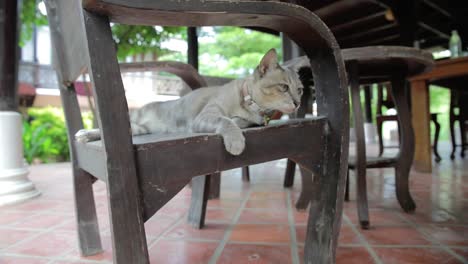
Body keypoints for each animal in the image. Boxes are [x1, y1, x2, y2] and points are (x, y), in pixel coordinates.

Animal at [74, 48, 304, 155]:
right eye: (284, 87)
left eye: (300, 90)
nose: (298, 103)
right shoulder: (207, 115)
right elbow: (226, 121)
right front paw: (236, 141)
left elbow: (237, 121)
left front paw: (240, 123)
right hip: (130, 121)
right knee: (101, 129)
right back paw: (83, 134)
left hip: (139, 129)